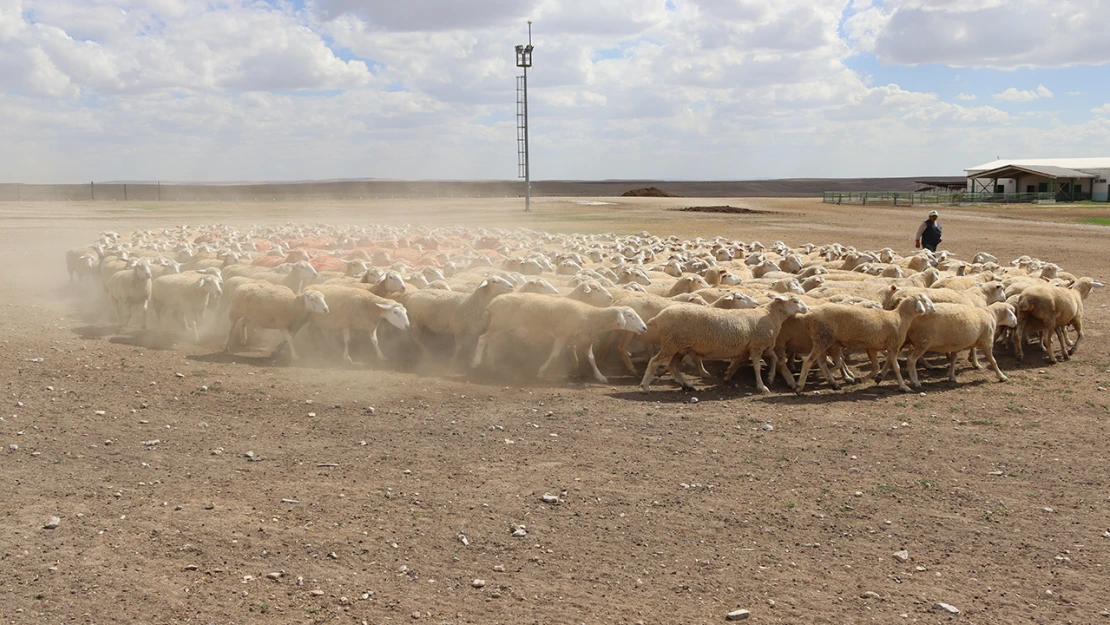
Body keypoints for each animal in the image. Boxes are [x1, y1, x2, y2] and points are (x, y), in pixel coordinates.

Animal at [470, 295, 648, 386]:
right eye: (630, 316)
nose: (644, 328)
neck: (591, 316)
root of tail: (493, 302)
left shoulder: (586, 340)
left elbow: (591, 358)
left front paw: (600, 377)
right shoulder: (562, 335)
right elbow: (554, 355)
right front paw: (541, 372)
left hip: (502, 328)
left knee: (492, 343)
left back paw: (492, 365)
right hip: (499, 324)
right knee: (482, 339)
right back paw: (476, 362)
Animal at [799, 293, 936, 390]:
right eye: (925, 300)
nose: (934, 310)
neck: (900, 317)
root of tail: (808, 316)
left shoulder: (873, 347)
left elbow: (876, 367)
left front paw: (863, 379)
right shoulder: (894, 346)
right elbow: (896, 367)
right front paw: (904, 386)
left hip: (822, 340)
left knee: (821, 362)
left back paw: (831, 382)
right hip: (823, 338)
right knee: (808, 361)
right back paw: (799, 387)